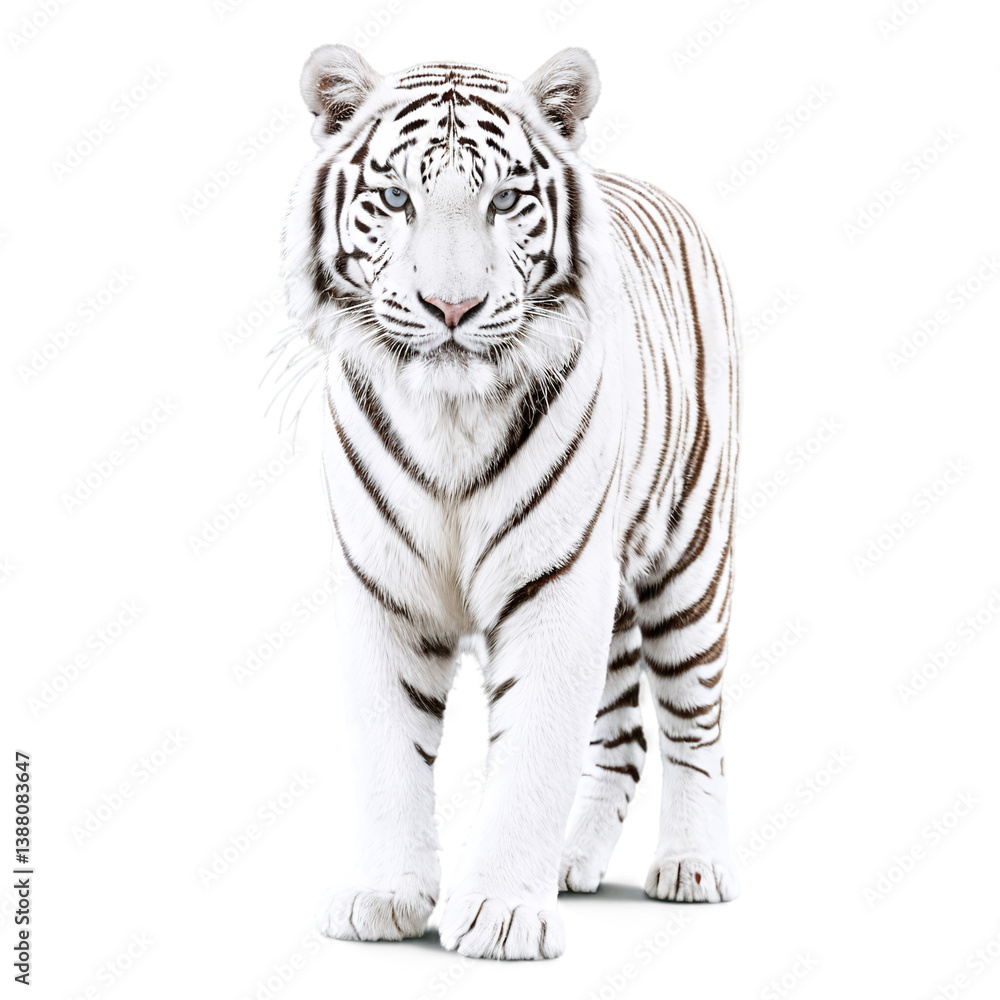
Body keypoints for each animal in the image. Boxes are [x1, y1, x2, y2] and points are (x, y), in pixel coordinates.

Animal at [281, 44, 741, 960]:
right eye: (397, 199)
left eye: (504, 200)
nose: (451, 307)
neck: (449, 414)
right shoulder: (383, 590)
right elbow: (389, 753)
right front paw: (387, 897)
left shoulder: (557, 589)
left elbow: (533, 752)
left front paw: (499, 914)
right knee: (625, 734)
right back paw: (574, 863)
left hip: (691, 561)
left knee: (693, 724)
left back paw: (691, 865)